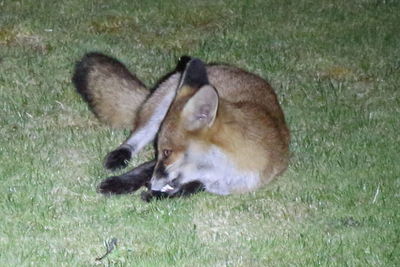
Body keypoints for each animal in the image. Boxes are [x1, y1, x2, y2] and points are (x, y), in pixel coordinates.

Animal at [72, 52, 290, 202]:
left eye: (168, 152)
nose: (150, 185)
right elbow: (143, 168)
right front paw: (120, 183)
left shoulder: (223, 184)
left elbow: (190, 188)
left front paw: (157, 195)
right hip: (159, 111)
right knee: (135, 138)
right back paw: (120, 156)